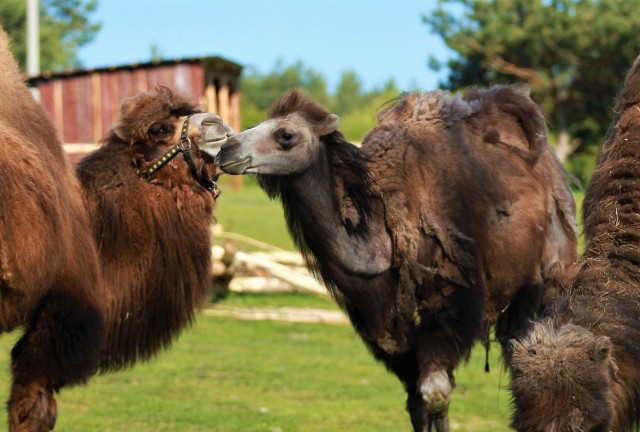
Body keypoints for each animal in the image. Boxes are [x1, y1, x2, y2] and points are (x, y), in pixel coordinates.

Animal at [212, 88, 576, 432]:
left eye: (285, 135)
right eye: (255, 124)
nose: (226, 151)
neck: (386, 234)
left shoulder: (453, 299)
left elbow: (436, 394)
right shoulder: (386, 324)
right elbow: (416, 402)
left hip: (544, 277)